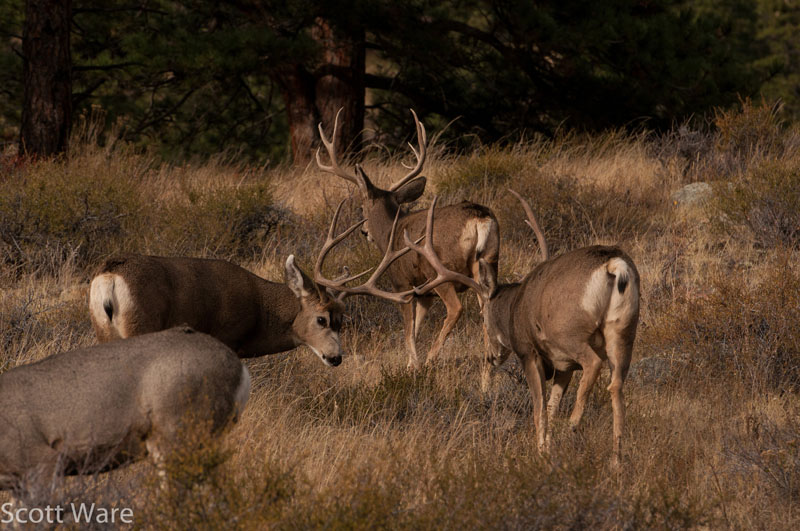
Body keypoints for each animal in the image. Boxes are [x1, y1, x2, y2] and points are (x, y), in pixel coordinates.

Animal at [316, 108, 500, 368]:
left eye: (361, 207)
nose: (365, 232)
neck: (391, 231)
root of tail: (479, 219)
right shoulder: (423, 294)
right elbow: (416, 327)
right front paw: (412, 364)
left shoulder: (401, 284)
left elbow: (407, 330)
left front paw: (413, 364)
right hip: (489, 261)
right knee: (487, 306)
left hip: (440, 270)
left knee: (456, 308)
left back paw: (432, 358)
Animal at [405, 193, 640, 466]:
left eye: (483, 318)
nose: (490, 357)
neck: (513, 307)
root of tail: (615, 266)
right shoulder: (563, 367)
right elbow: (551, 407)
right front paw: (547, 446)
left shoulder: (529, 353)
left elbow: (539, 409)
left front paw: (541, 451)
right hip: (624, 331)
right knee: (616, 385)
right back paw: (616, 460)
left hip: (569, 332)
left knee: (593, 364)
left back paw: (572, 426)